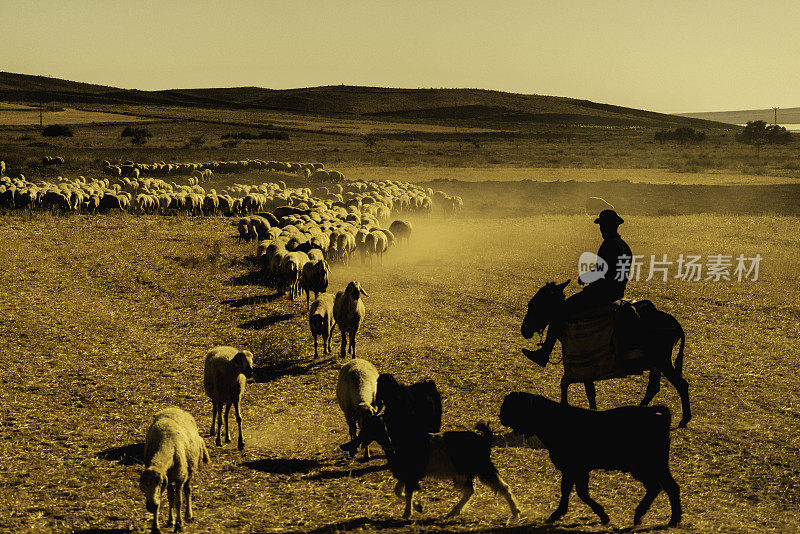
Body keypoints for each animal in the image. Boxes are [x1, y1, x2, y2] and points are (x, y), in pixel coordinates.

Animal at [500, 392, 680, 528]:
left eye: (511, 406)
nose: (501, 416)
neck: (555, 419)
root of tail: (655, 415)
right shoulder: (576, 470)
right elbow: (575, 491)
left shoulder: (575, 469)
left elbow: (576, 492)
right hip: (646, 468)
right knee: (657, 487)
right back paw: (641, 517)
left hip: (651, 466)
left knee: (669, 487)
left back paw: (671, 520)